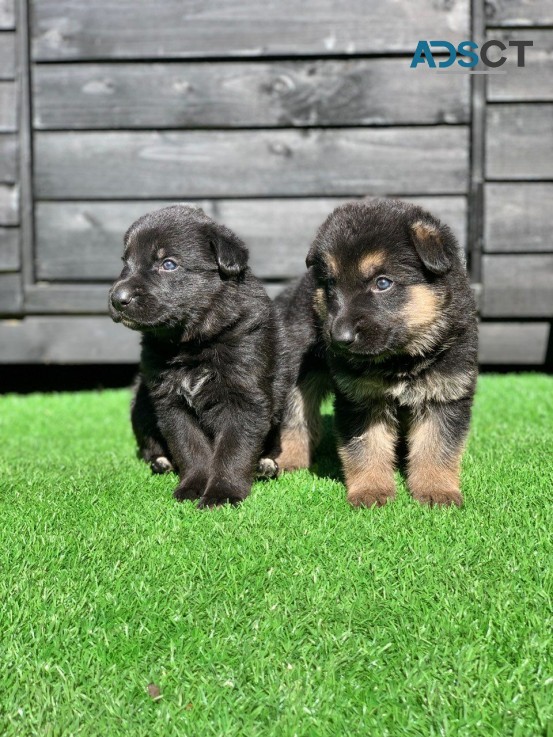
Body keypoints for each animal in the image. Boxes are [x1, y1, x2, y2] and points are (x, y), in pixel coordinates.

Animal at [108, 206, 288, 506]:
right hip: (140, 402)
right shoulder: (170, 401)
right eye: (126, 262)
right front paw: (193, 486)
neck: (193, 344)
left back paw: (265, 465)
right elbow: (189, 448)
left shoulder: (245, 399)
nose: (116, 298)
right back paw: (160, 461)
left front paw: (222, 493)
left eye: (168, 264)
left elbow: (233, 450)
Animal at [276, 196, 478, 506]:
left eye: (382, 283)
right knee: (295, 415)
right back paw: (290, 460)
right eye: (331, 284)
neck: (401, 360)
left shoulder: (445, 394)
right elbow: (367, 447)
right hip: (297, 369)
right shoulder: (361, 398)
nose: (339, 338)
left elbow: (436, 446)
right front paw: (371, 490)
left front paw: (436, 489)